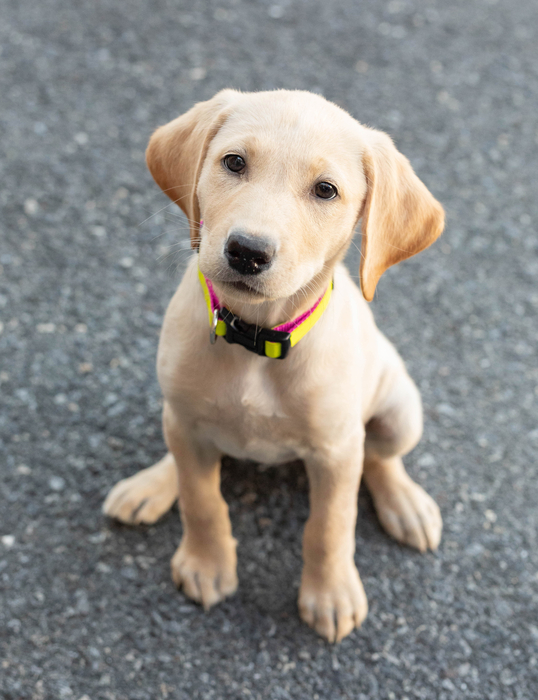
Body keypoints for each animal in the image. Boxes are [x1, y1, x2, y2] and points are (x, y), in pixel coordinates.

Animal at [102, 90, 442, 644]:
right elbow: (201, 499)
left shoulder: (335, 451)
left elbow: (329, 526)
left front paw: (330, 595)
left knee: (379, 458)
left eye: (326, 191)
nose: (247, 251)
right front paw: (207, 564)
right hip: (179, 417)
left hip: (399, 412)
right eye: (234, 162)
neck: (255, 340)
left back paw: (404, 504)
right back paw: (149, 485)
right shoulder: (187, 424)